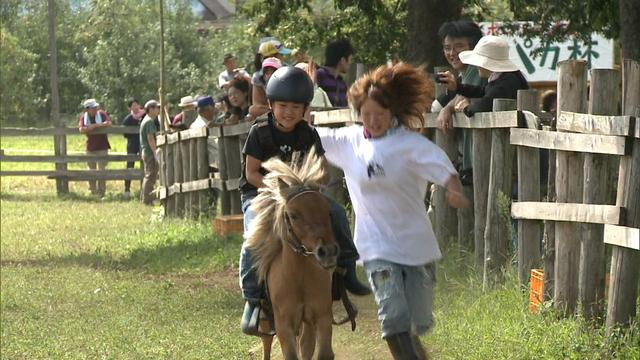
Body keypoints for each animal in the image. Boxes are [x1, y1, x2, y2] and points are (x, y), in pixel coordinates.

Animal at [246, 148, 340, 358]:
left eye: (327, 210)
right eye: (294, 215)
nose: (328, 252)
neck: (298, 277)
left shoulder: (322, 317)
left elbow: (321, 352)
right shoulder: (284, 324)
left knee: (305, 345)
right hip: (267, 319)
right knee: (266, 343)